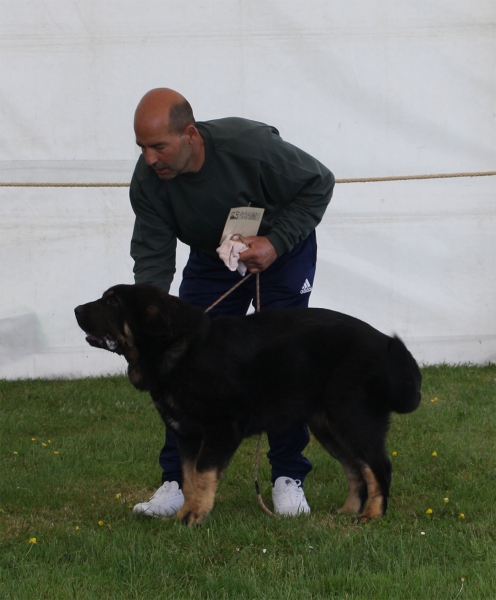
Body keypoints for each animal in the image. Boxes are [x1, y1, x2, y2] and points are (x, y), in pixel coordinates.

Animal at [75, 284, 420, 524]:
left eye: (113, 302)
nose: (76, 309)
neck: (182, 350)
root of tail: (386, 345)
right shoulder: (187, 435)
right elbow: (188, 478)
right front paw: (184, 512)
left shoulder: (221, 428)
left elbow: (202, 474)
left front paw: (194, 516)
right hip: (328, 426)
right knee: (355, 469)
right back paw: (347, 510)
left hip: (352, 417)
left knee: (378, 466)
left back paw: (373, 515)